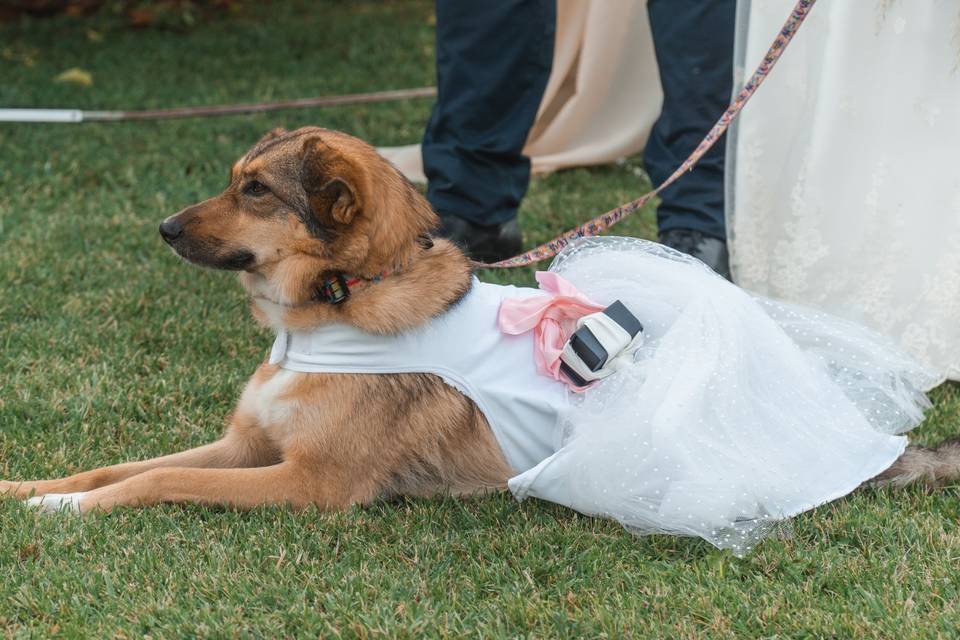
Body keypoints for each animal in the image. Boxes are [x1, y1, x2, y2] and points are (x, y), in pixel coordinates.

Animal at [1, 126, 960, 516]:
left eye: (255, 191)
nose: (162, 228)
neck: (341, 301)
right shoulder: (247, 447)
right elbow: (118, 465)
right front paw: (33, 490)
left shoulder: (307, 486)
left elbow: (156, 481)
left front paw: (67, 511)